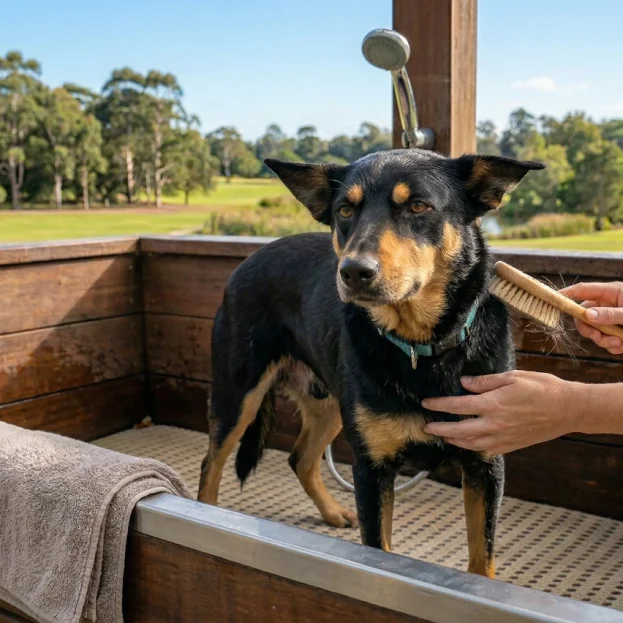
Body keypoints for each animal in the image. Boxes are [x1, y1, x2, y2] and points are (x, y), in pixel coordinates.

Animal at [197, 148, 544, 578]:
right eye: (345, 210)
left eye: (417, 206)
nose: (354, 272)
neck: (421, 347)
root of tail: (251, 258)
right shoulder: (372, 471)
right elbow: (378, 548)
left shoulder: (485, 465)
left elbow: (483, 557)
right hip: (238, 396)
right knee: (211, 465)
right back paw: (204, 516)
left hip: (329, 404)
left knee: (301, 459)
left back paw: (331, 512)